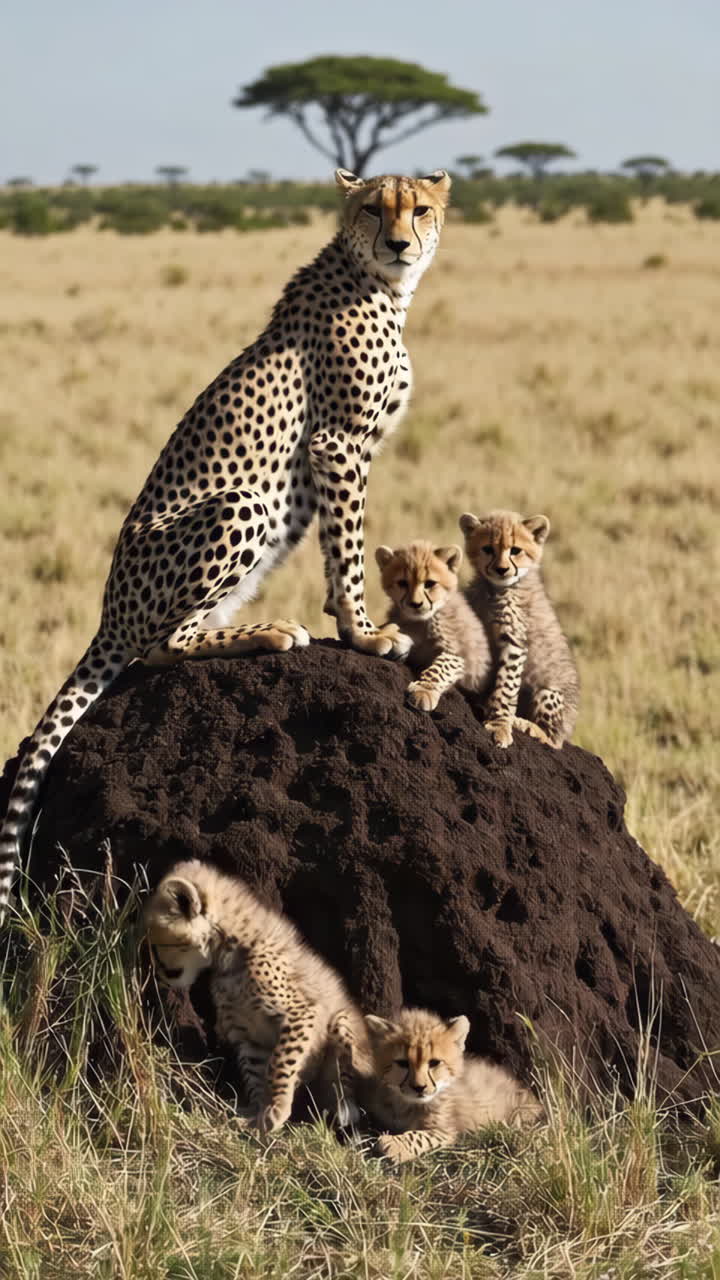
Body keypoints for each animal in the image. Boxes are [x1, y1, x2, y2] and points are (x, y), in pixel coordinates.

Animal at [0, 167, 452, 922]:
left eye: (418, 209)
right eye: (372, 209)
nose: (398, 243)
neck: (380, 285)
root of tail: (107, 613)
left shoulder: (339, 453)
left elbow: (338, 551)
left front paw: (349, 626)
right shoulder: (338, 443)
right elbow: (349, 549)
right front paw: (363, 635)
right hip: (241, 505)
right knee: (163, 646)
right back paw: (270, 632)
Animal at [144, 859, 372, 1134]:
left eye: (157, 944)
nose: (157, 973)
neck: (229, 950)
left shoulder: (301, 1012)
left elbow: (280, 1064)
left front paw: (275, 1110)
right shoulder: (248, 1033)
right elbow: (256, 1072)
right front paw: (255, 1113)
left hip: (342, 1022)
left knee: (344, 1093)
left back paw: (341, 1112)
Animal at [362, 1007, 541, 1164]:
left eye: (434, 1063)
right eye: (402, 1063)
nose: (419, 1088)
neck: (408, 1105)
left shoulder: (446, 1131)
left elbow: (420, 1136)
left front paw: (393, 1145)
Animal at [460, 509, 579, 749]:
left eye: (515, 550)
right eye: (488, 549)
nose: (502, 569)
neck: (495, 588)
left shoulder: (514, 641)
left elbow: (506, 687)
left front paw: (499, 726)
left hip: (549, 694)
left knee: (554, 741)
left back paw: (526, 725)